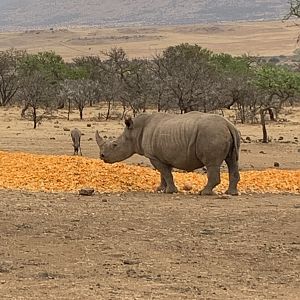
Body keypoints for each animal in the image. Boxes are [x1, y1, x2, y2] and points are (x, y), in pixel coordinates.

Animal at [95, 112, 240, 195]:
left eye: (115, 145)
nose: (102, 156)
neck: (135, 131)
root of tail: (229, 125)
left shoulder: (153, 156)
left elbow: (165, 173)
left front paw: (170, 191)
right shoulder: (163, 155)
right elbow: (164, 173)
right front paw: (161, 189)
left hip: (211, 133)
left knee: (212, 164)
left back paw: (203, 192)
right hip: (225, 133)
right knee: (232, 161)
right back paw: (231, 193)